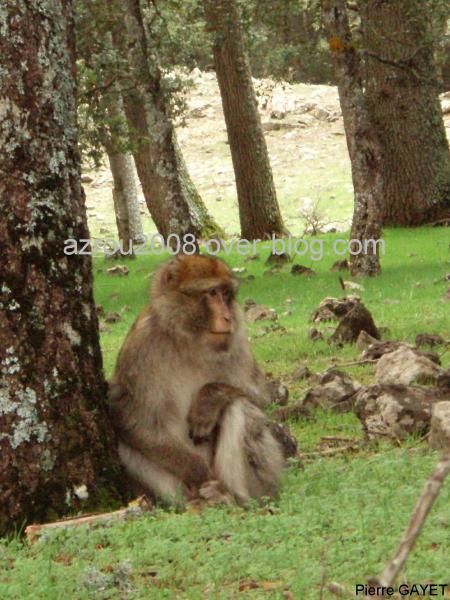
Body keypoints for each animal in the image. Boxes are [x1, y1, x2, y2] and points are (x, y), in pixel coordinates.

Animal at [107, 254, 286, 506]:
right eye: (212, 293)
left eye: (226, 294)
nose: (227, 317)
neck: (188, 339)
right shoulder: (140, 346)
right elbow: (131, 418)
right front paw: (198, 471)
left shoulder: (238, 338)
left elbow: (261, 396)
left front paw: (209, 399)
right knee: (125, 442)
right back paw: (193, 502)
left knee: (239, 406)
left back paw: (231, 497)